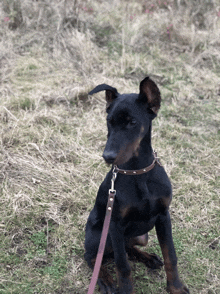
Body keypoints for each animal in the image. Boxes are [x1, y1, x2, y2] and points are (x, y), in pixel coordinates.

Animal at [84, 77, 189, 292]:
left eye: (132, 122)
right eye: (109, 122)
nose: (108, 157)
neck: (137, 173)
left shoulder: (163, 216)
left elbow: (170, 255)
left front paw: (175, 287)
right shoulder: (115, 225)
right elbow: (122, 266)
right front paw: (124, 289)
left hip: (142, 236)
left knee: (128, 247)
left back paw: (148, 258)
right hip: (100, 235)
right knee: (92, 256)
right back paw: (106, 280)